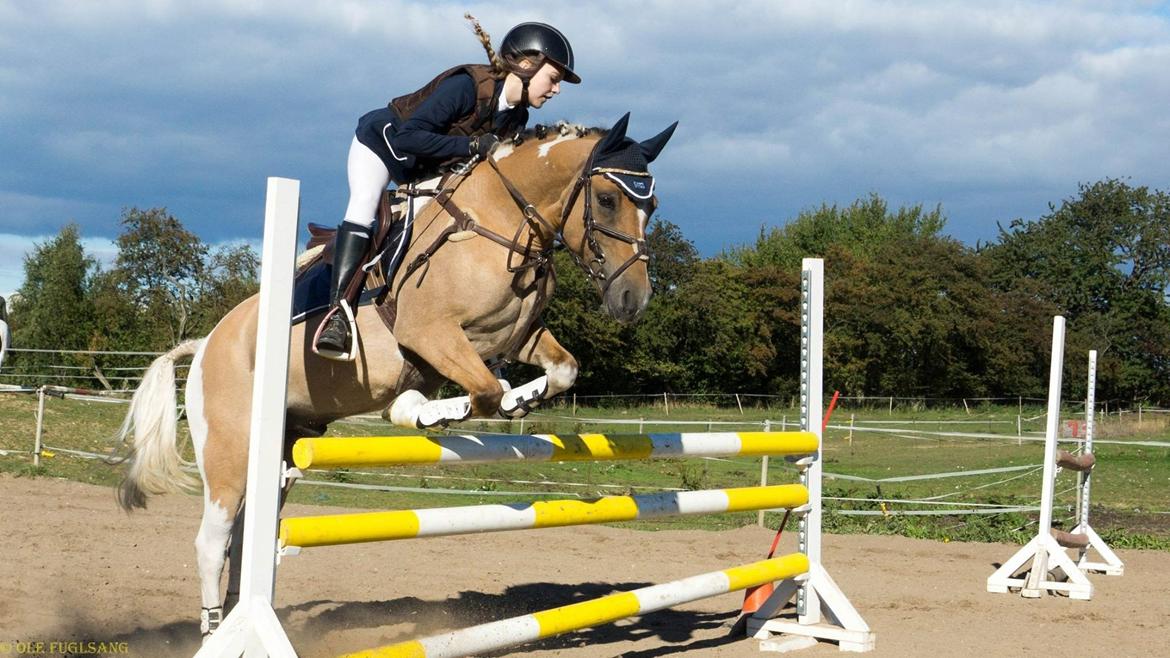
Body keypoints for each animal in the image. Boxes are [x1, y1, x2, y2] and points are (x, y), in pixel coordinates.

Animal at [114, 113, 677, 638]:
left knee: (248, 534)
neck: (499, 220)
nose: (633, 300)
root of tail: (206, 344)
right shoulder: (430, 332)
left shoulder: (516, 336)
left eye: (651, 207)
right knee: (212, 541)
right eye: (606, 199)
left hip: (282, 449)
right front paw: (429, 410)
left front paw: (520, 399)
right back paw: (213, 628)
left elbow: (559, 371)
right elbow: (482, 391)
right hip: (230, 452)